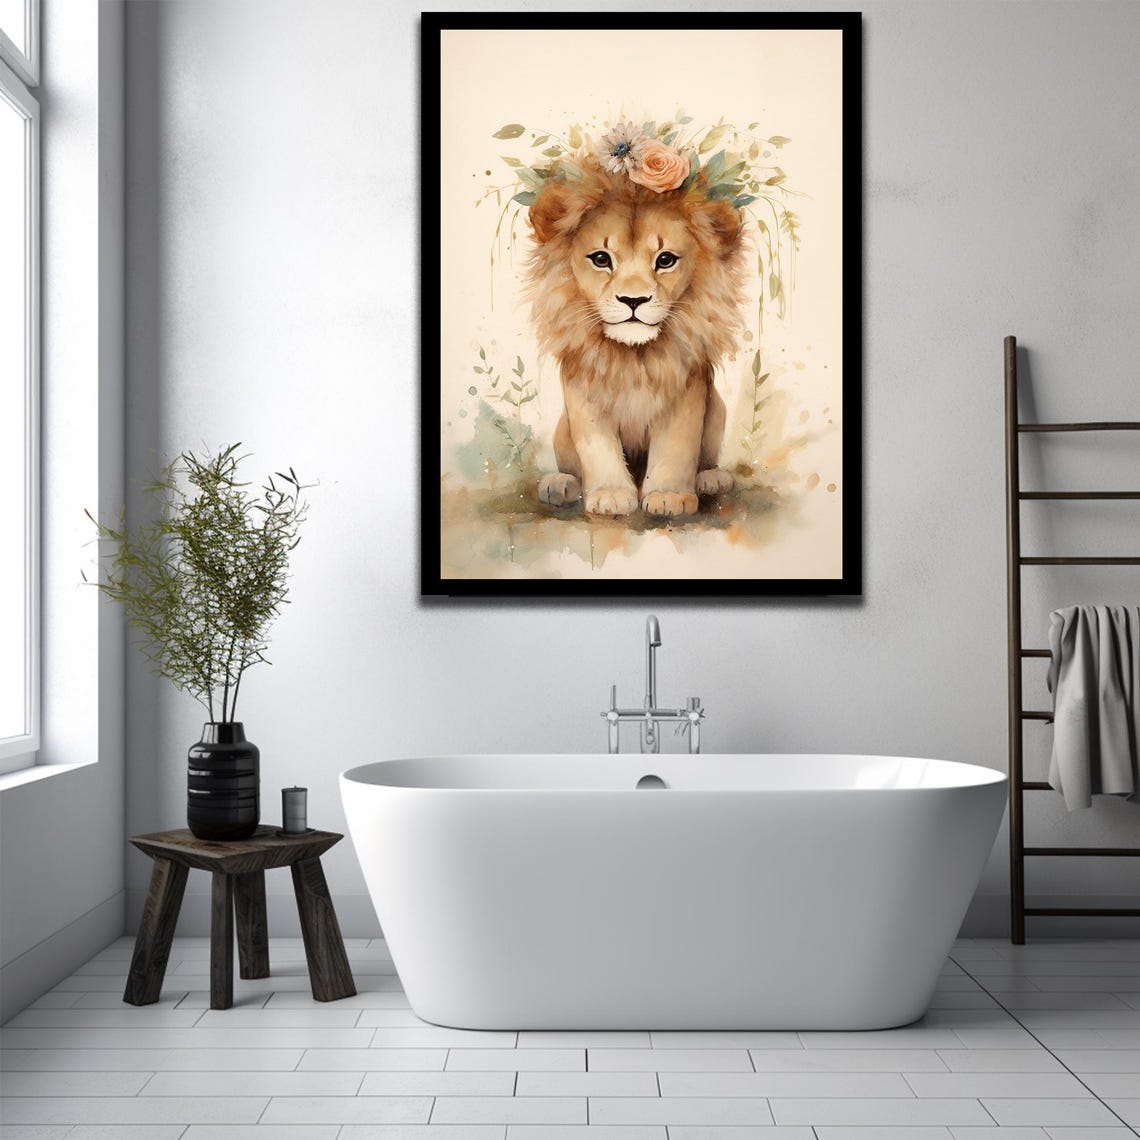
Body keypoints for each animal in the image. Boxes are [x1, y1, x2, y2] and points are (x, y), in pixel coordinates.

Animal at [525, 158, 748, 518]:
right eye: (601, 258)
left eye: (665, 260)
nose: (633, 300)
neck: (633, 355)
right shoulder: (582, 391)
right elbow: (598, 448)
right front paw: (611, 495)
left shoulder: (686, 391)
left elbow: (676, 447)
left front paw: (669, 496)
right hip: (562, 431)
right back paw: (559, 485)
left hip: (717, 410)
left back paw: (711, 479)